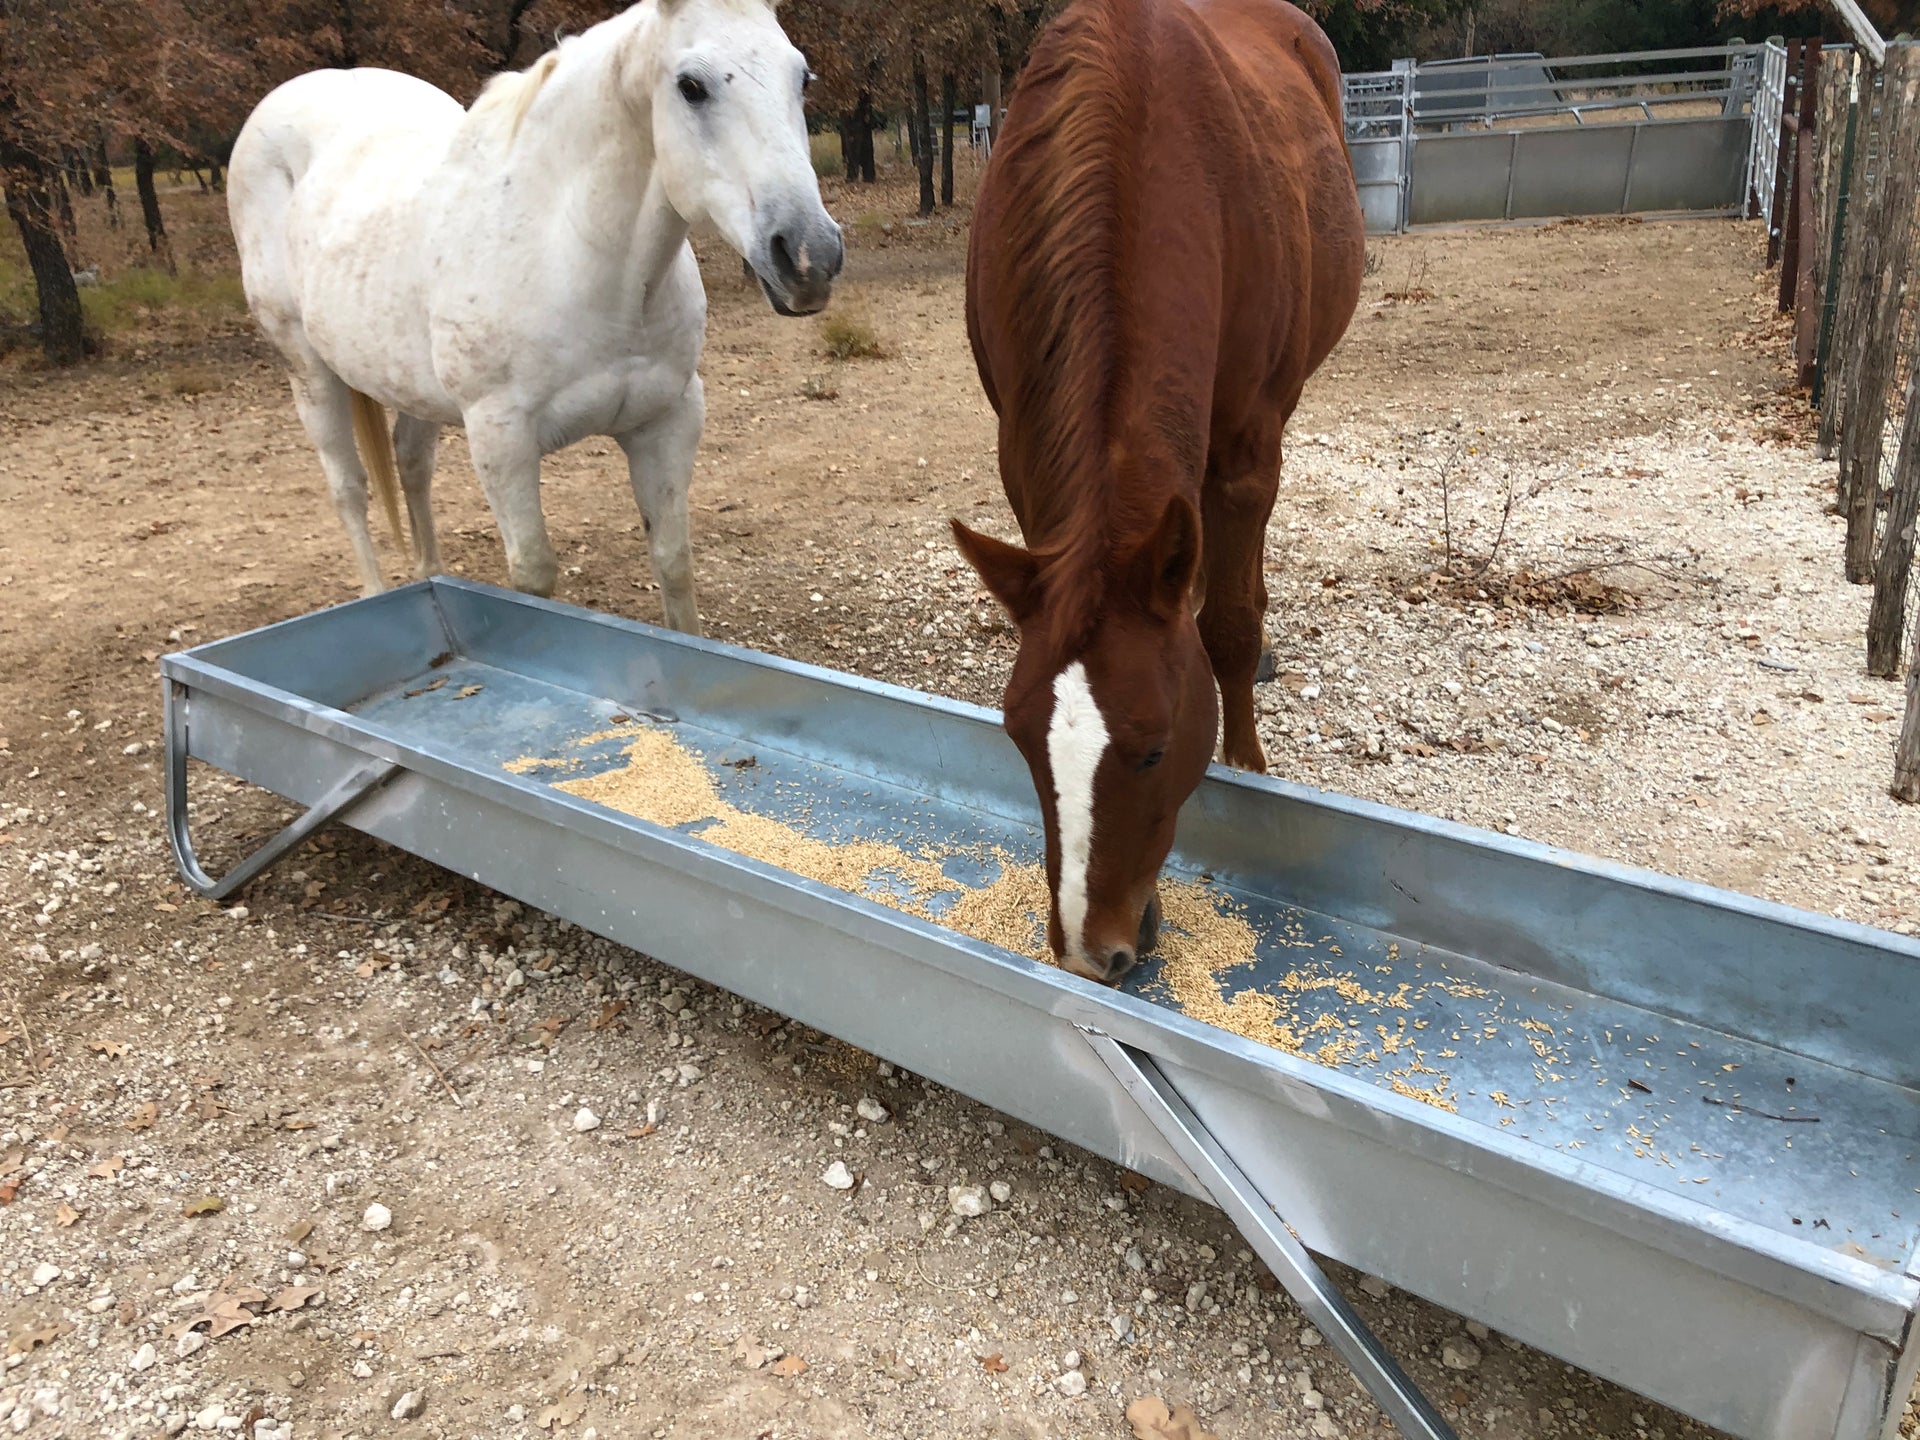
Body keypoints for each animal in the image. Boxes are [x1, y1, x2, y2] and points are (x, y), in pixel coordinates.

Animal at [227, 0, 842, 629]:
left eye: (803, 77)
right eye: (691, 86)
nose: (809, 256)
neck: (574, 253)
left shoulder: (667, 420)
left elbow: (673, 558)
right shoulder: (502, 442)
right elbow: (532, 575)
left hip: (405, 381)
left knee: (411, 465)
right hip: (309, 370)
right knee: (348, 487)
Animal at [951, 0, 1363, 983]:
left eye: (1154, 751)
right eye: (1016, 736)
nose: (1088, 952)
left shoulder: (1248, 451)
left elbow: (1229, 630)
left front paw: (1247, 761)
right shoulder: (1027, 474)